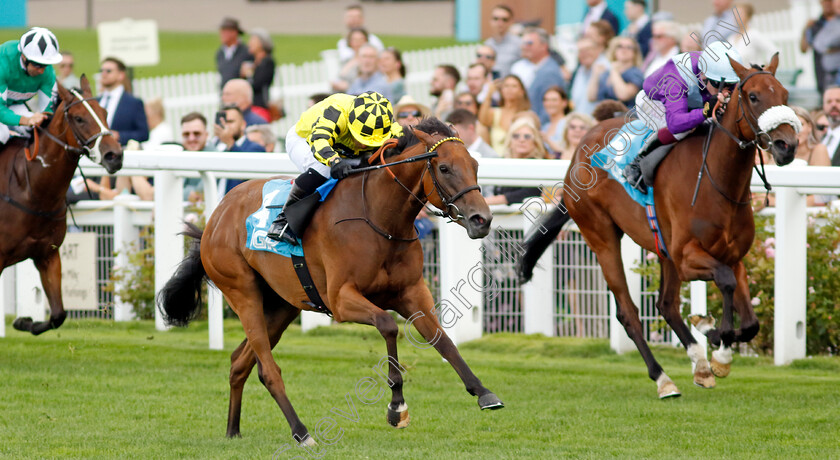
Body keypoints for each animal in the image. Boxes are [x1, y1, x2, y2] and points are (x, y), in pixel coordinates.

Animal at [158, 118, 502, 446]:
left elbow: (442, 340)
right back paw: (301, 433)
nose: (482, 220)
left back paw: (233, 430)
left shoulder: (412, 293)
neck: (379, 218)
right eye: (444, 168)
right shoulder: (340, 300)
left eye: (475, 165)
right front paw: (396, 407)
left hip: (282, 305)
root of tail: (215, 219)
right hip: (243, 293)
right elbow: (388, 325)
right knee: (267, 369)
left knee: (239, 362)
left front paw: (484, 392)